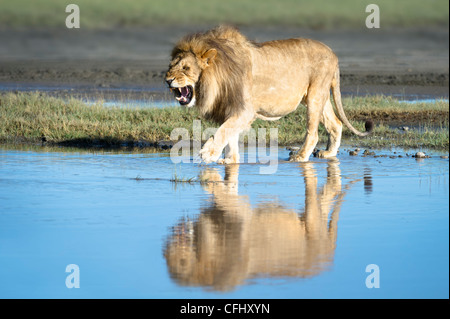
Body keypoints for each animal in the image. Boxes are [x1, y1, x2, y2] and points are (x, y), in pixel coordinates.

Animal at [166, 25, 372, 164]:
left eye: (185, 68)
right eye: (171, 66)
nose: (168, 80)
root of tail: (333, 54)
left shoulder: (244, 110)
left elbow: (223, 130)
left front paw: (208, 153)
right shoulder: (230, 109)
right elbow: (230, 135)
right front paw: (231, 161)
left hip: (315, 95)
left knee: (313, 133)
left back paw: (300, 157)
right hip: (316, 97)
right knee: (336, 124)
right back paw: (329, 154)